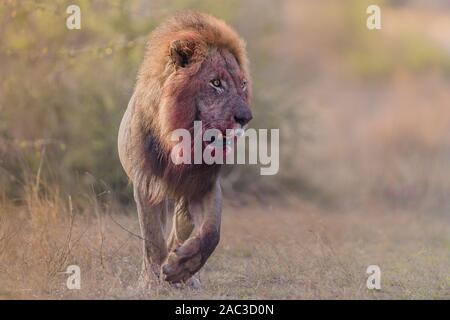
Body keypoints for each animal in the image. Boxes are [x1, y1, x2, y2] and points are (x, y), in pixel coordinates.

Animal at [118, 12, 253, 286]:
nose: (246, 117)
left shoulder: (204, 184)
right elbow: (152, 239)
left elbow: (211, 233)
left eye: (243, 84)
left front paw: (180, 268)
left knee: (181, 230)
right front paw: (152, 281)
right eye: (216, 83)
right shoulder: (146, 184)